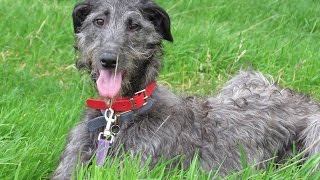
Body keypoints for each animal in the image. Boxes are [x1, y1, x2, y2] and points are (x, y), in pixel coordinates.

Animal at [52, 0, 320, 179]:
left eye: (134, 26)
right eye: (99, 21)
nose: (109, 59)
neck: (120, 116)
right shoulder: (71, 166)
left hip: (314, 131)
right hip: (245, 78)